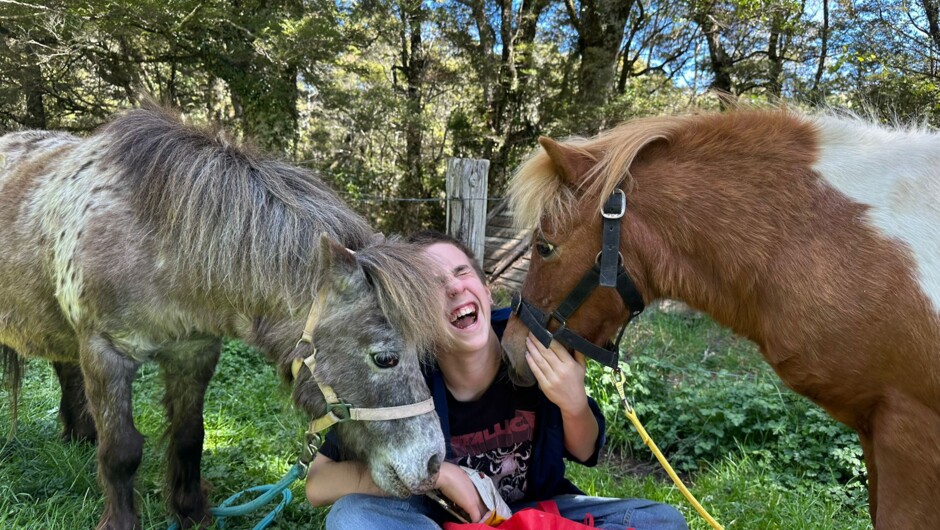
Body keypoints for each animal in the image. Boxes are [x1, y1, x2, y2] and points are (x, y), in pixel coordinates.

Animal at [0, 106, 447, 530]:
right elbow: (121, 452)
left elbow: (188, 437)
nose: (433, 463)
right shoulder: (105, 352)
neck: (157, 236)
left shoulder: (193, 352)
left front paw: (191, 512)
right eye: (384, 358)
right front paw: (120, 522)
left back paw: (79, 435)